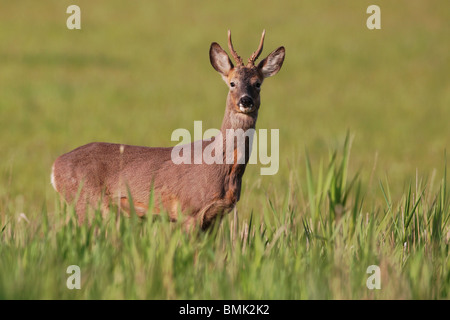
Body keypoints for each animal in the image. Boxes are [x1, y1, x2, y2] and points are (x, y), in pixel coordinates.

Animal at [51, 30, 284, 230]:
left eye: (258, 83)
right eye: (232, 83)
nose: (246, 101)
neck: (223, 167)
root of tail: (55, 167)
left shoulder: (215, 217)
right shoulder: (189, 210)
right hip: (87, 203)